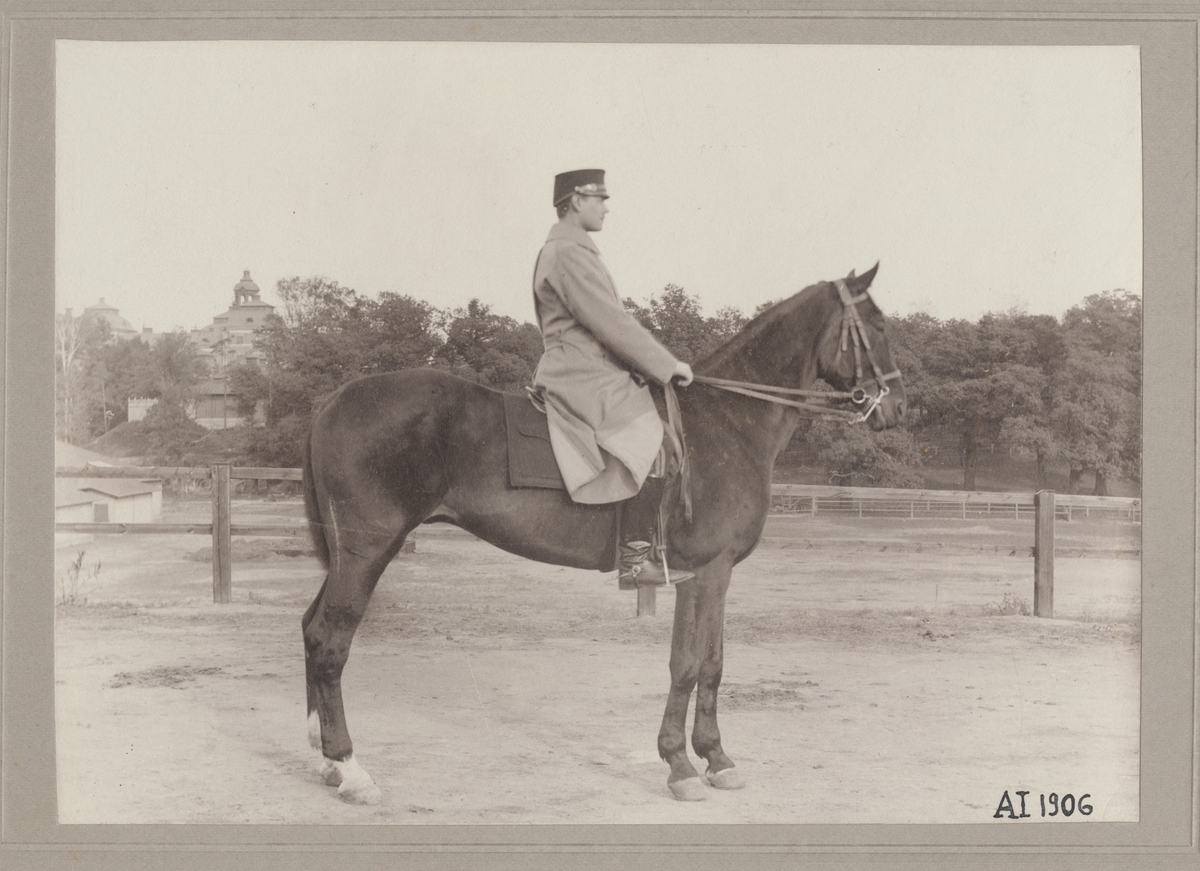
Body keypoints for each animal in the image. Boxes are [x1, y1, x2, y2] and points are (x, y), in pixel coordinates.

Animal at [302, 263, 907, 806]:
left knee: (311, 629)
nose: (896, 408)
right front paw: (680, 764)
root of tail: (332, 400)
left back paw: (324, 758)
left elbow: (711, 663)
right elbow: (688, 665)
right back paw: (350, 768)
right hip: (368, 550)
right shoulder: (704, 572)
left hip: (347, 555)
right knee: (331, 640)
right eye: (876, 325)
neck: (728, 420)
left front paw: (716, 758)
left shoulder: (713, 576)